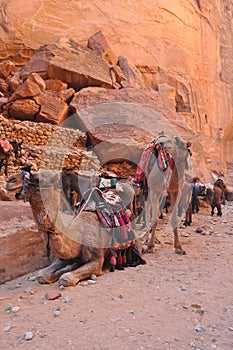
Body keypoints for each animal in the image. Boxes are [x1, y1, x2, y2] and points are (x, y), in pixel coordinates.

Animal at [5, 168, 144, 286]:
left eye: (39, 177)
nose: (10, 180)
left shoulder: (96, 261)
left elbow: (66, 278)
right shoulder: (64, 257)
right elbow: (42, 275)